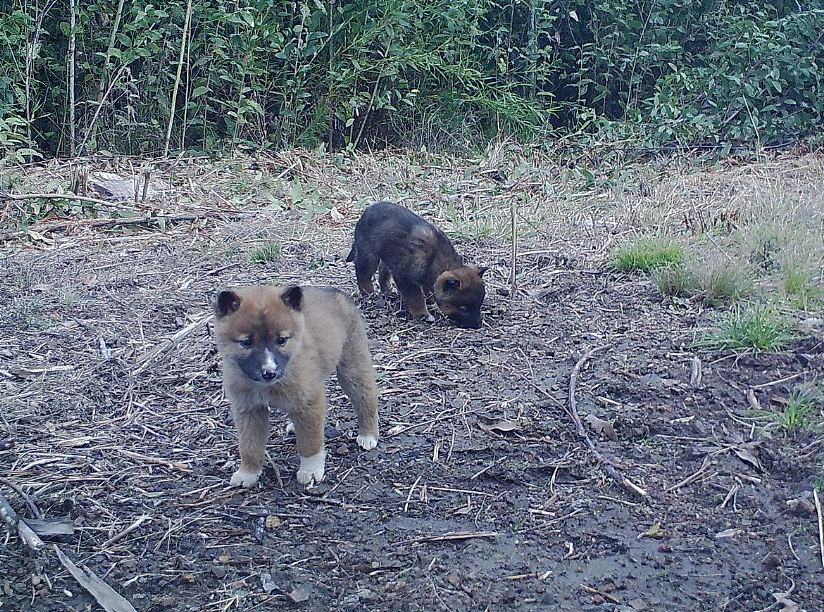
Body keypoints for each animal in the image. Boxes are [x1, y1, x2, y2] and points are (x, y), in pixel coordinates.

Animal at [212, 284, 380, 490]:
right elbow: (249, 445)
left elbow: (310, 443)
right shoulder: (249, 409)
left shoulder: (309, 400)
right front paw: (248, 472)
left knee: (366, 400)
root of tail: (334, 291)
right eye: (246, 342)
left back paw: (368, 434)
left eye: (281, 340)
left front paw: (310, 470)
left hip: (352, 368)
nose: (269, 372)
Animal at [346, 202, 486, 328]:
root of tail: (366, 212)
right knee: (363, 274)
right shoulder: (404, 277)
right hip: (369, 254)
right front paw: (423, 314)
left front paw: (431, 300)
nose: (478, 325)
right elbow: (416, 298)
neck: (437, 259)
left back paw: (387, 290)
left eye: (479, 305)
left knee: (383, 269)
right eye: (463, 308)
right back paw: (368, 293)